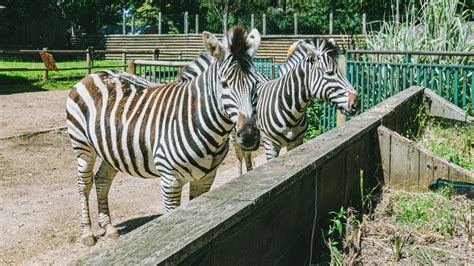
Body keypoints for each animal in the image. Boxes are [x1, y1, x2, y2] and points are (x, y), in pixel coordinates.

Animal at [65, 26, 262, 246]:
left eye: (256, 83)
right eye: (225, 84)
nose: (249, 136)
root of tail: (94, 73)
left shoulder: (206, 178)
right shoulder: (170, 180)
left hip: (112, 149)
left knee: (101, 180)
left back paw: (109, 228)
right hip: (83, 146)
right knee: (84, 185)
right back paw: (87, 233)